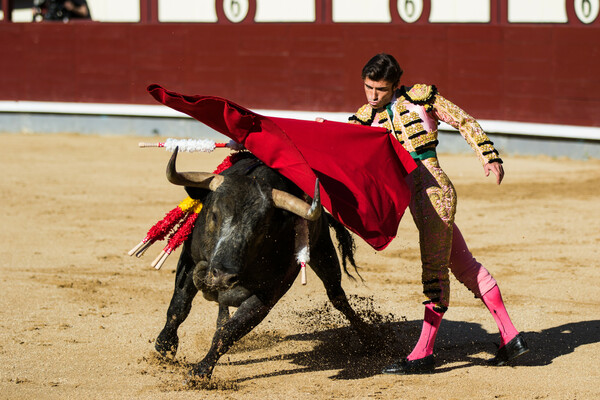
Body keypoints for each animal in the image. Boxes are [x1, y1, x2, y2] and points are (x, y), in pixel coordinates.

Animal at [155, 149, 370, 378]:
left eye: (262, 226)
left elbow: (231, 331)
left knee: (337, 295)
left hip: (323, 249)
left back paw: (369, 337)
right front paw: (165, 346)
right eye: (214, 214)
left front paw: (201, 371)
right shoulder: (189, 259)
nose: (223, 275)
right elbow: (179, 305)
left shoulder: (268, 294)